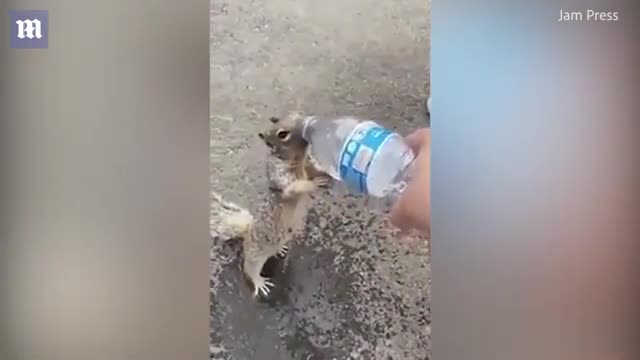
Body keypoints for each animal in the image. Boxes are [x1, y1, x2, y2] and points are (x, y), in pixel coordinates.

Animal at [214, 111, 330, 296]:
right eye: (282, 134)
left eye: (296, 114)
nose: (308, 124)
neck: (297, 160)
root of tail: (247, 233)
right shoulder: (281, 178)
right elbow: (296, 187)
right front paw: (314, 183)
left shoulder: (306, 165)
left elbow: (312, 169)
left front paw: (323, 172)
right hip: (255, 254)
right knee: (249, 269)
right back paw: (259, 282)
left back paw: (280, 250)